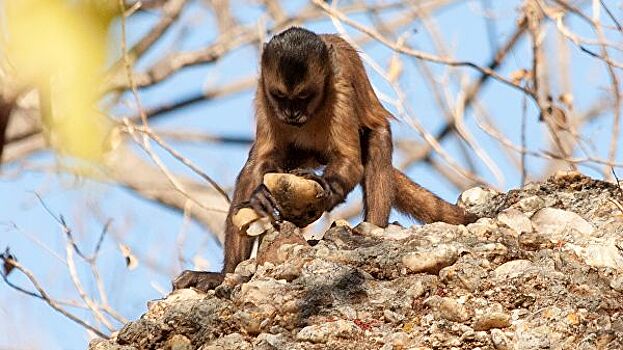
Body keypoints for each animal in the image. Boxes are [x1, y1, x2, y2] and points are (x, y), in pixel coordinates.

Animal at [173, 26, 476, 292]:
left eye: (303, 97)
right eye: (280, 96)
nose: (292, 113)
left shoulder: (340, 83)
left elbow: (350, 160)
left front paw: (325, 189)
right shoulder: (263, 89)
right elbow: (259, 162)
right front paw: (260, 197)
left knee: (376, 138)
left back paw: (373, 228)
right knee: (255, 167)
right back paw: (225, 274)